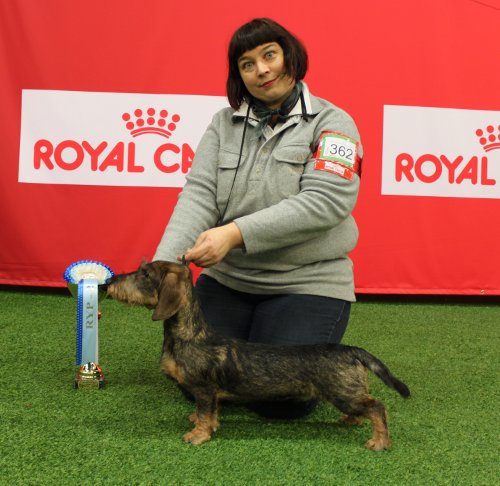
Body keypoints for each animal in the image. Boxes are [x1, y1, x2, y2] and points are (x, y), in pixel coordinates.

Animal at [107, 261, 410, 450]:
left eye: (145, 274)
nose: (110, 281)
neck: (190, 335)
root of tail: (350, 349)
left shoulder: (203, 389)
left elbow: (205, 413)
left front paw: (198, 435)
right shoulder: (210, 394)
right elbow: (209, 412)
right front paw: (203, 423)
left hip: (343, 393)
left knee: (378, 408)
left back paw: (379, 442)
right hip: (348, 394)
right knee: (367, 406)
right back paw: (352, 421)